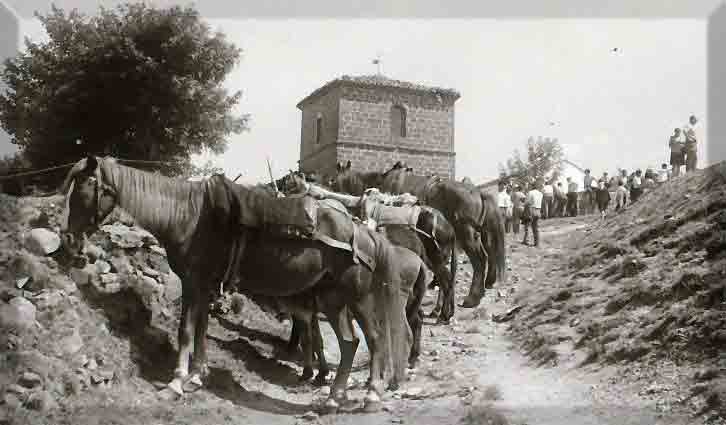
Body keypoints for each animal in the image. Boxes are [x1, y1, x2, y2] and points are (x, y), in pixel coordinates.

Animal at [59, 155, 420, 410]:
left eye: (84, 191)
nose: (69, 239)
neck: (188, 217)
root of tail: (363, 232)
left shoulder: (193, 283)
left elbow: (186, 330)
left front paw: (176, 382)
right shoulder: (205, 287)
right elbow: (201, 329)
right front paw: (197, 376)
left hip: (355, 299)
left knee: (373, 339)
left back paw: (369, 395)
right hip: (335, 301)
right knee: (351, 342)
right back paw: (335, 397)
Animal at [334, 159, 506, 308]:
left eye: (332, 181)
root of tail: (479, 193)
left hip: (466, 233)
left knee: (480, 259)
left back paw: (473, 298)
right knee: (489, 250)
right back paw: (487, 283)